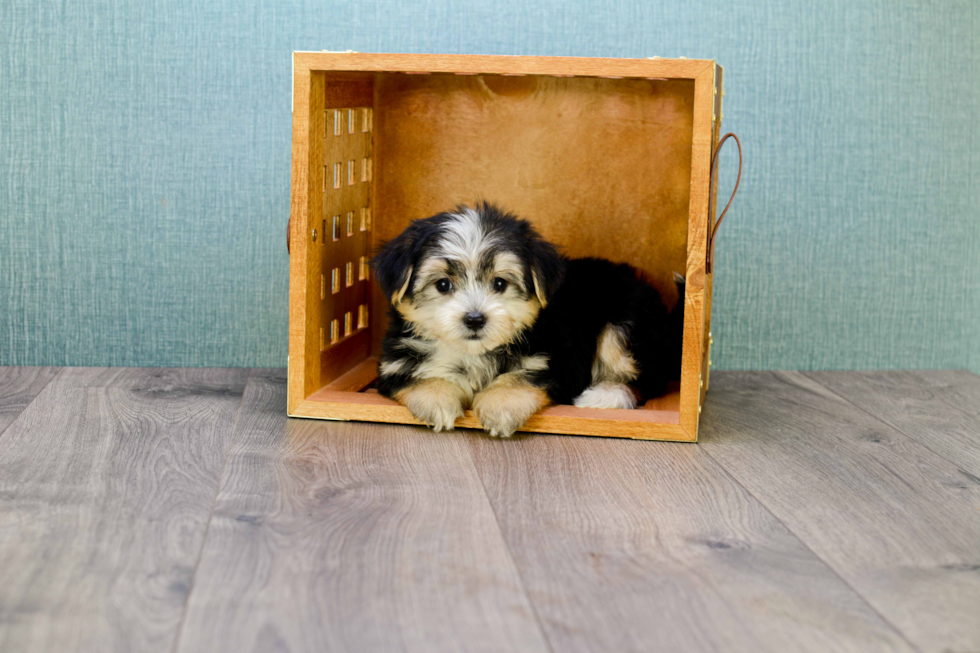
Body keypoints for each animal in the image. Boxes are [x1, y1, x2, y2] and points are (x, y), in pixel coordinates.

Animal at [372, 201, 684, 436]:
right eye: (443, 285)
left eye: (499, 283)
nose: (474, 319)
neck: (474, 353)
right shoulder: (393, 364)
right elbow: (416, 376)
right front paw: (437, 399)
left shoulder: (558, 361)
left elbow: (522, 377)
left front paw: (500, 405)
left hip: (626, 325)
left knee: (646, 378)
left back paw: (604, 394)